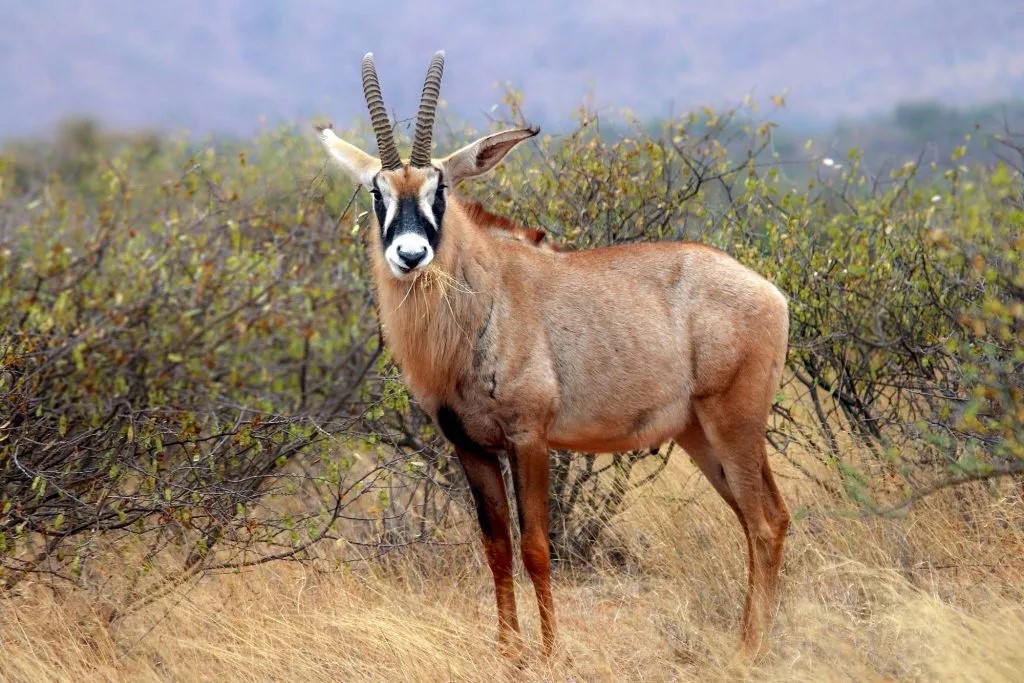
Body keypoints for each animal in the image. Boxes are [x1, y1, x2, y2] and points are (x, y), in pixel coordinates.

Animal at [315, 50, 786, 659]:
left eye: (440, 189)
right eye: (378, 193)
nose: (410, 254)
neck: (484, 292)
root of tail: (770, 292)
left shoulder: (530, 438)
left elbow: (537, 546)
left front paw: (547, 652)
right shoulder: (471, 448)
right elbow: (497, 550)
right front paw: (508, 654)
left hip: (734, 424)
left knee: (764, 523)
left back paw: (748, 650)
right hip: (701, 436)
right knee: (767, 519)